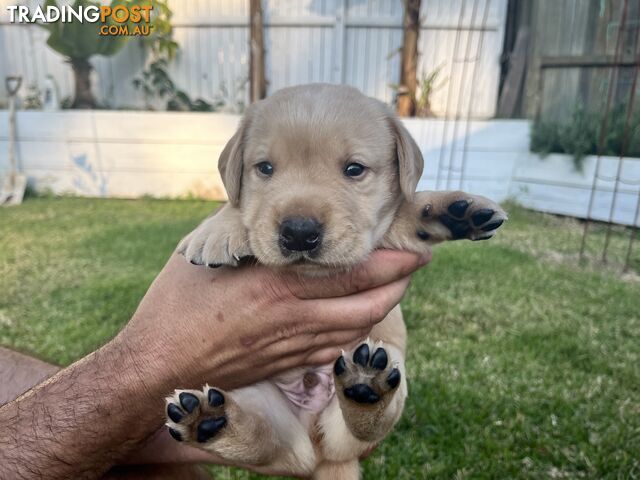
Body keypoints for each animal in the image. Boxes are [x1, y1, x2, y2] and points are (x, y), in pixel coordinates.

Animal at [164, 84, 504, 478]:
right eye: (265, 168)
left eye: (354, 169)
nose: (299, 232)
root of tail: (317, 440)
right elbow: (238, 205)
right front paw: (218, 229)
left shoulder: (379, 236)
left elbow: (404, 211)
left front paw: (450, 211)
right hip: (266, 406)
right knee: (266, 442)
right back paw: (209, 421)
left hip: (390, 380)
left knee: (365, 424)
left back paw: (366, 388)